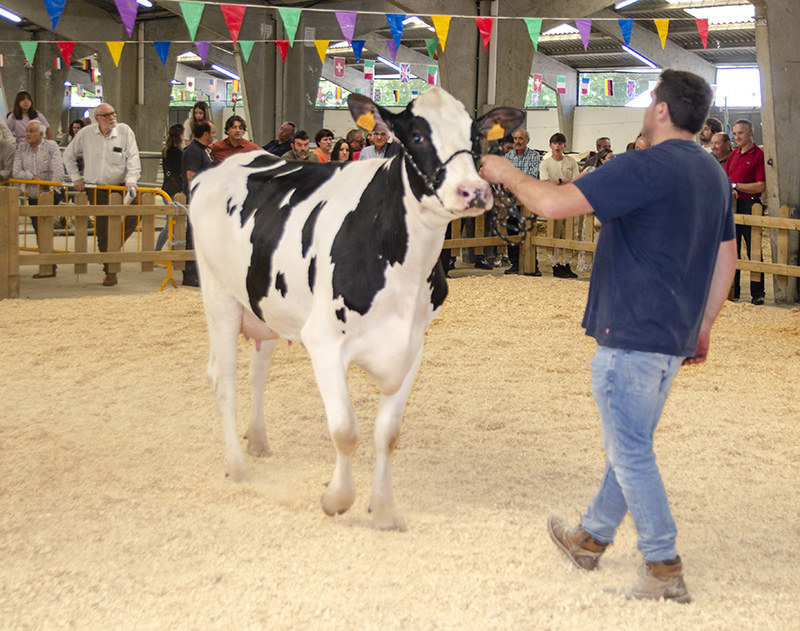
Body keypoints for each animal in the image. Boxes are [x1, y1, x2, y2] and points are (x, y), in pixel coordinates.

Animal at [190, 86, 520, 532]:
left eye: (475, 136)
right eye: (416, 135)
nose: (474, 191)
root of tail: (215, 170)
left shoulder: (411, 347)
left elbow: (388, 434)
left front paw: (384, 510)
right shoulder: (324, 341)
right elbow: (346, 429)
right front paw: (337, 499)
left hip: (265, 304)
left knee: (258, 372)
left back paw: (257, 441)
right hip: (219, 297)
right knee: (224, 380)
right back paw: (239, 468)